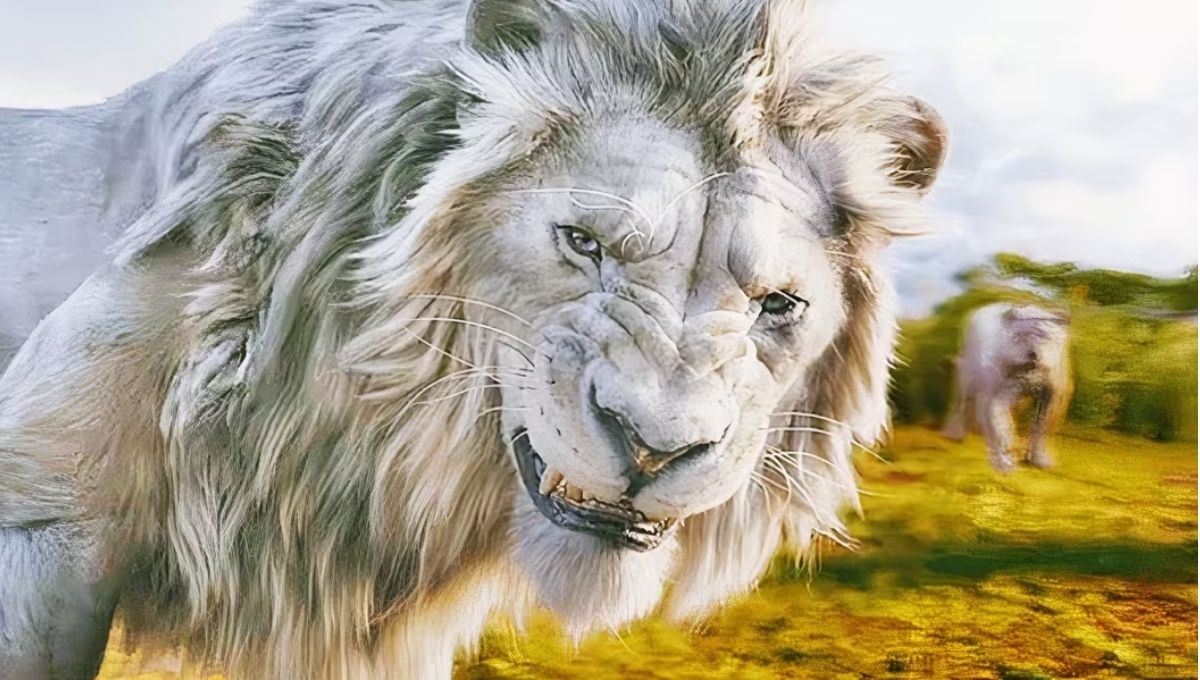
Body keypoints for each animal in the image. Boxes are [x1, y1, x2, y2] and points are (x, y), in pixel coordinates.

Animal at [942, 303, 1073, 471]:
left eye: (1044, 335)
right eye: (1020, 335)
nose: (1032, 353)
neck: (1031, 371)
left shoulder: (1052, 397)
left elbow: (1041, 428)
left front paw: (1039, 459)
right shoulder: (999, 397)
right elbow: (1002, 428)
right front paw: (1004, 462)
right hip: (968, 378)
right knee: (961, 404)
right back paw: (955, 433)